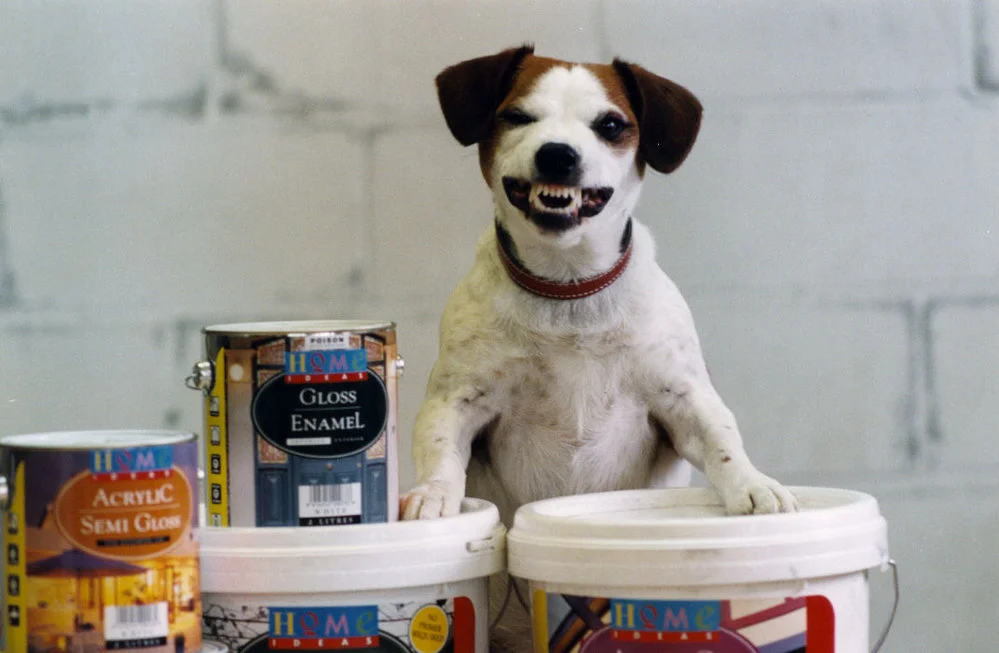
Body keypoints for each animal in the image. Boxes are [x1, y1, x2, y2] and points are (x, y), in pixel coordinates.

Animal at [402, 45, 792, 524]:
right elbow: (439, 449)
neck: (568, 287)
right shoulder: (457, 399)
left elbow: (722, 439)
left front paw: (753, 485)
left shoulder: (684, 397)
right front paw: (433, 494)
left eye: (609, 125)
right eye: (517, 116)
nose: (557, 154)